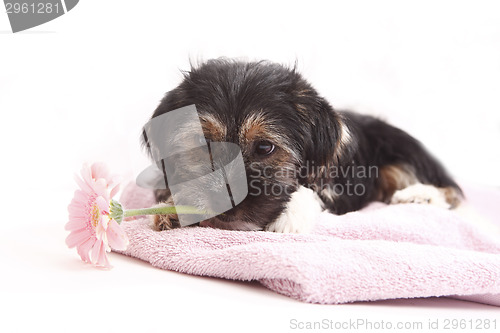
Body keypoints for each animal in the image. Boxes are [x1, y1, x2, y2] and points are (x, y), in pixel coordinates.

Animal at [144, 58, 460, 232]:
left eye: (265, 148)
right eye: (203, 143)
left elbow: (308, 191)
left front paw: (289, 218)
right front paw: (170, 209)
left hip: (402, 155)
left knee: (450, 190)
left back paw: (419, 196)